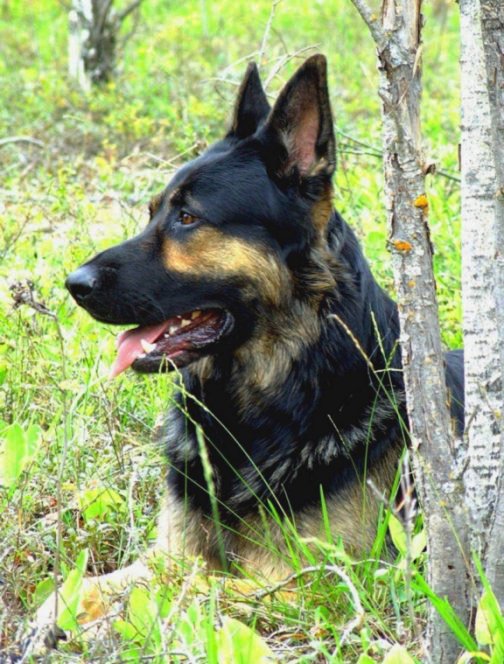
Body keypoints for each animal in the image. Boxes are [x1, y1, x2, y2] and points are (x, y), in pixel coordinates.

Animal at [34, 55, 464, 640]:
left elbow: (189, 589)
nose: (74, 284)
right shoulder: (167, 553)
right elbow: (94, 584)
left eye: (187, 217)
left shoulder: (313, 587)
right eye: (152, 211)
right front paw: (55, 617)